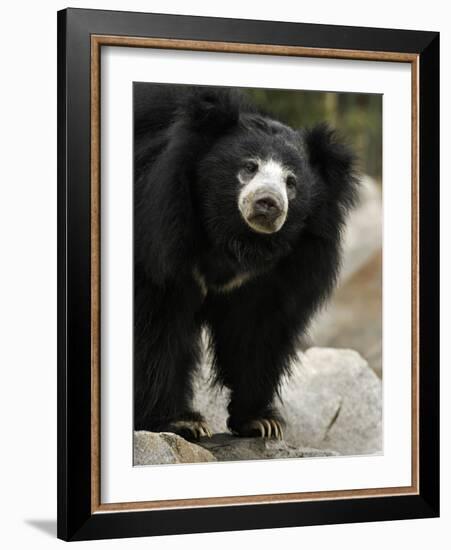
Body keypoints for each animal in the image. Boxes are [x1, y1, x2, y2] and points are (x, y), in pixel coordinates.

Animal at [132, 84, 358, 442]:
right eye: (249, 167)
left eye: (291, 182)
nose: (268, 203)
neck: (234, 241)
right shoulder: (158, 239)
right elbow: (157, 329)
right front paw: (180, 422)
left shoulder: (275, 272)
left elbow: (256, 331)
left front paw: (260, 421)